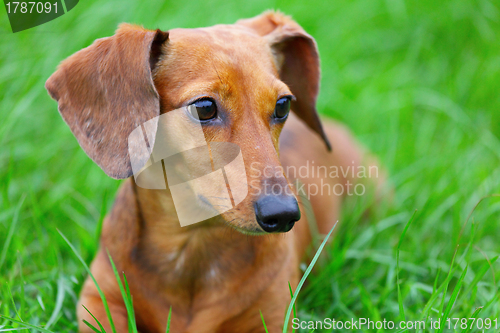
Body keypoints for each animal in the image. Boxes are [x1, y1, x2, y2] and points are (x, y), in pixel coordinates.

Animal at [47, 10, 376, 332]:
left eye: (283, 104)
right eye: (204, 107)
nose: (282, 214)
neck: (192, 245)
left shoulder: (273, 316)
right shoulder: (100, 301)